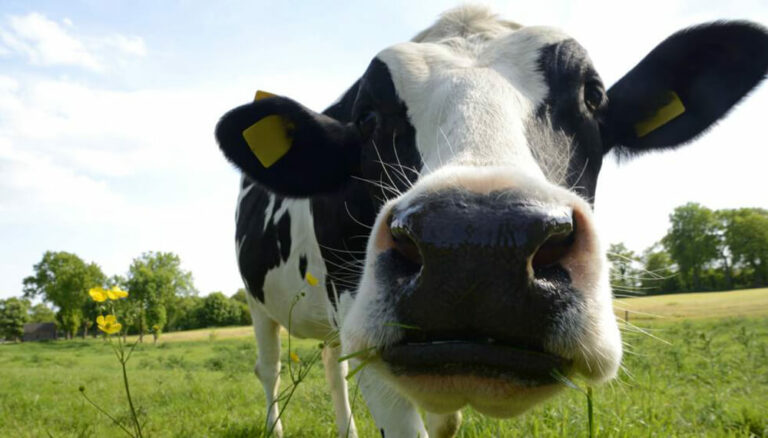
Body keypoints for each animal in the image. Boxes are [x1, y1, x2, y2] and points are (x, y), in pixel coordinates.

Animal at [215, 6, 768, 438]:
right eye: (367, 116)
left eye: (592, 96)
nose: (475, 243)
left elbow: (446, 421)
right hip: (258, 303)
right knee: (271, 370)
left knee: (331, 365)